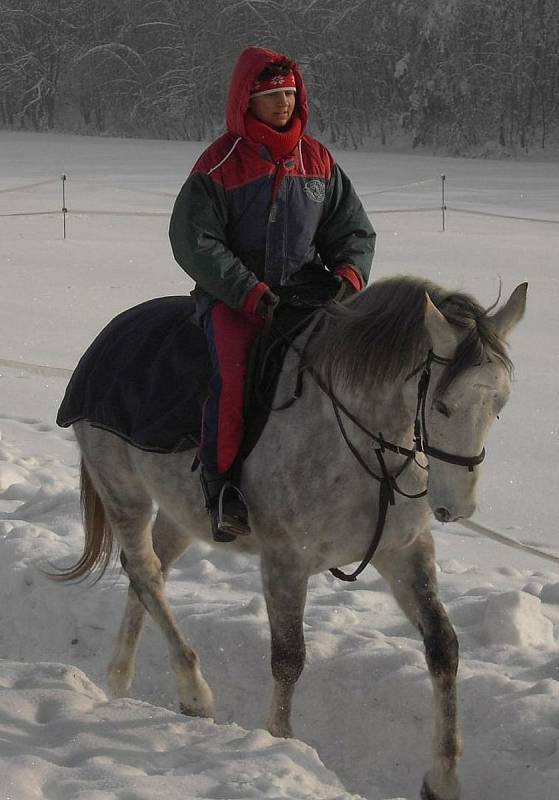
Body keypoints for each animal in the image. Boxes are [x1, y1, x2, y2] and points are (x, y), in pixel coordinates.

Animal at [54, 276, 528, 800]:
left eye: (500, 406)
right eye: (443, 405)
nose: (456, 508)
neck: (360, 445)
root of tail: (111, 333)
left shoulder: (404, 553)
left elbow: (443, 648)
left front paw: (442, 778)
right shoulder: (285, 561)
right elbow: (289, 658)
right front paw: (279, 741)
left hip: (181, 514)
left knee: (147, 574)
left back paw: (120, 679)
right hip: (124, 491)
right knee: (145, 575)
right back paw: (193, 693)